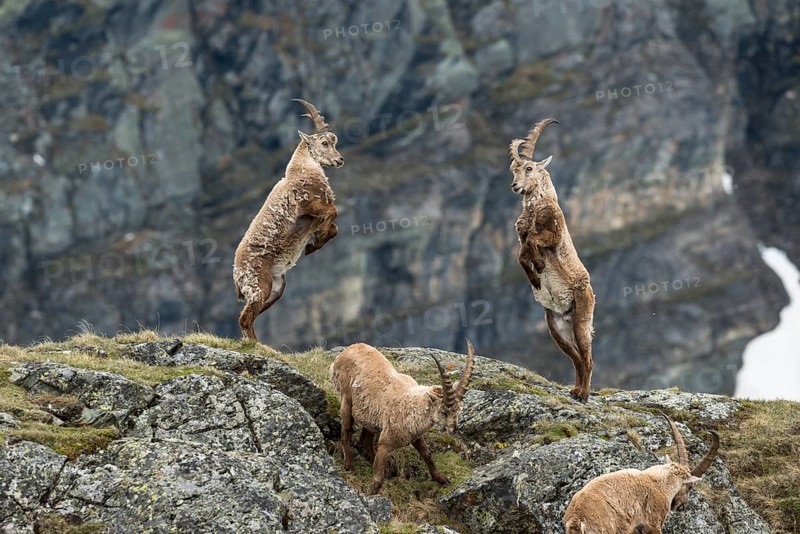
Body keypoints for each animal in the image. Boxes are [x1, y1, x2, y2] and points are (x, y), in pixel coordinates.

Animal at [233, 99, 343, 341]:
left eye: (334, 142)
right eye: (324, 143)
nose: (340, 160)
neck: (301, 169)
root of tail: (237, 274)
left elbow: (335, 227)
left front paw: (313, 244)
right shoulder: (307, 206)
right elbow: (334, 211)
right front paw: (317, 239)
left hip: (276, 288)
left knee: (251, 317)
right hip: (258, 285)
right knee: (244, 318)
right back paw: (255, 345)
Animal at [330, 341, 475, 495]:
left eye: (458, 410)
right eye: (444, 411)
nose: (454, 429)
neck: (411, 405)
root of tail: (346, 351)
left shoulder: (415, 435)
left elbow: (427, 454)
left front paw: (442, 479)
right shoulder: (385, 443)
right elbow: (378, 478)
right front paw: (371, 495)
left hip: (369, 415)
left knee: (365, 441)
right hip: (346, 398)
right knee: (346, 432)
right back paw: (349, 466)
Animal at [509, 118, 595, 402]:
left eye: (529, 168)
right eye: (513, 170)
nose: (515, 186)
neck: (538, 205)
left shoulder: (553, 235)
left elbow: (536, 243)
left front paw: (539, 267)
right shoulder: (522, 238)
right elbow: (522, 255)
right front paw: (536, 277)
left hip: (581, 320)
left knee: (587, 359)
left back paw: (584, 394)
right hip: (556, 327)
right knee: (576, 359)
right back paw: (575, 390)